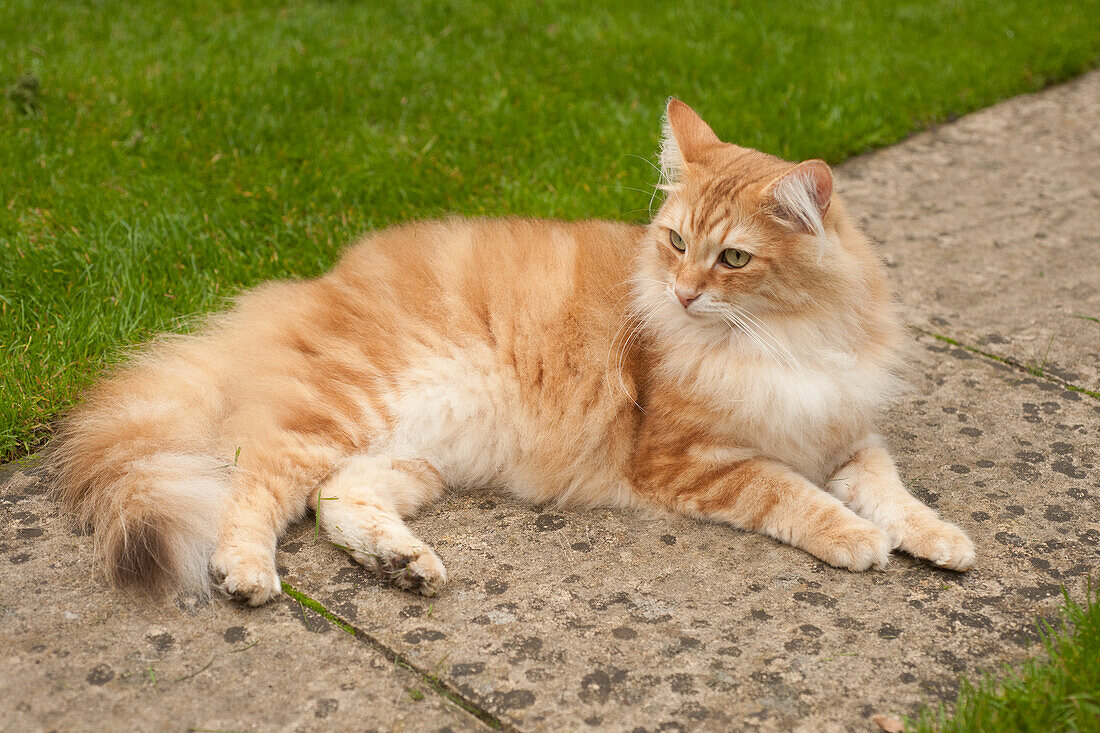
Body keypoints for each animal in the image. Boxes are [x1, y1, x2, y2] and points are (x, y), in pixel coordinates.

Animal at [53, 100, 972, 603]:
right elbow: (797, 496)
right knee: (256, 489)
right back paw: (246, 574)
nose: (682, 293)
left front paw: (942, 540)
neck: (787, 338)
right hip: (338, 412)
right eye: (677, 242)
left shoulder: (846, 432)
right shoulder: (694, 459)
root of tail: (301, 287)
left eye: (734, 259)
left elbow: (894, 492)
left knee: (335, 499)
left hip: (412, 453)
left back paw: (404, 564)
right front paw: (857, 540)